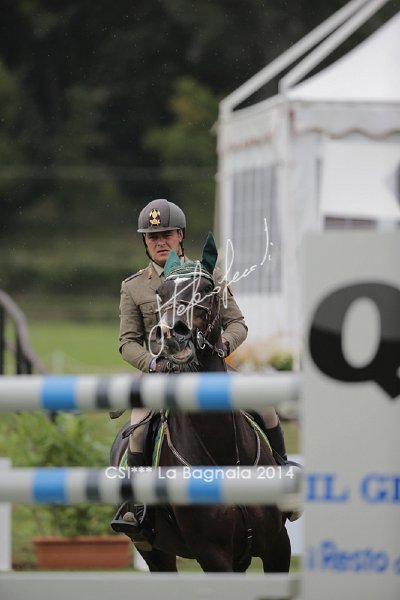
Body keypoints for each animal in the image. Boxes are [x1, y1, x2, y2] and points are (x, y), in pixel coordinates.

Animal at [111, 232, 291, 573]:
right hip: (155, 552)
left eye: (207, 290)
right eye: (160, 294)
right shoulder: (212, 554)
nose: (172, 336)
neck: (223, 452)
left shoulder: (277, 546)